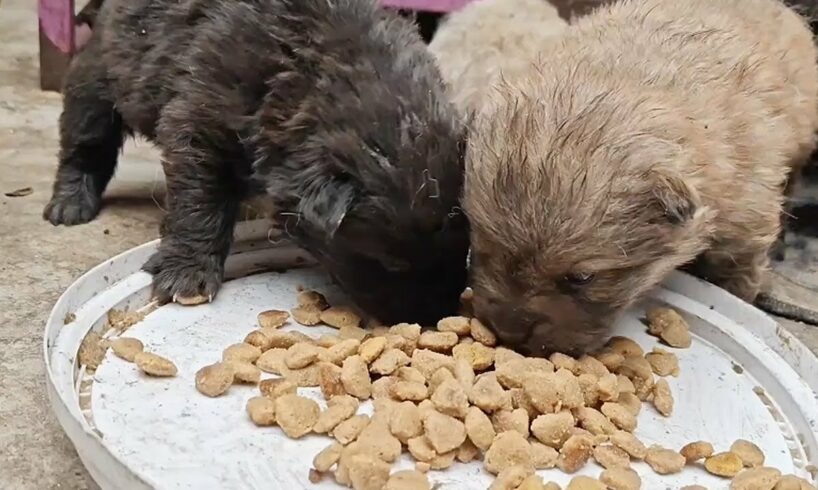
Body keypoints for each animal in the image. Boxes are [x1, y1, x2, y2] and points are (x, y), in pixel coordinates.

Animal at [43, 0, 466, 326]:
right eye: (391, 263)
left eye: (463, 246)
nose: (434, 316)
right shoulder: (198, 122)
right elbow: (199, 204)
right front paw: (187, 273)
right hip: (98, 78)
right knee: (84, 143)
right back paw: (69, 204)